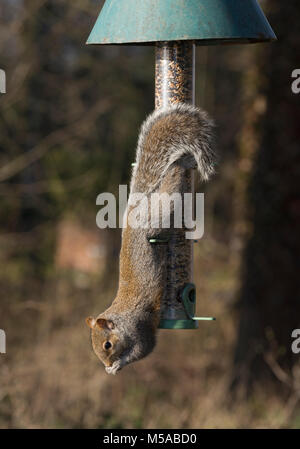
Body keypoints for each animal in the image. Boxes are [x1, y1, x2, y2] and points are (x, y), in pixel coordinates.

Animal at [86, 103, 216, 372]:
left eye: (107, 345)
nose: (106, 363)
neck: (123, 317)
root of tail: (133, 209)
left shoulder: (141, 329)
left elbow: (142, 350)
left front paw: (117, 366)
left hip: (160, 212)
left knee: (171, 190)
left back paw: (178, 165)